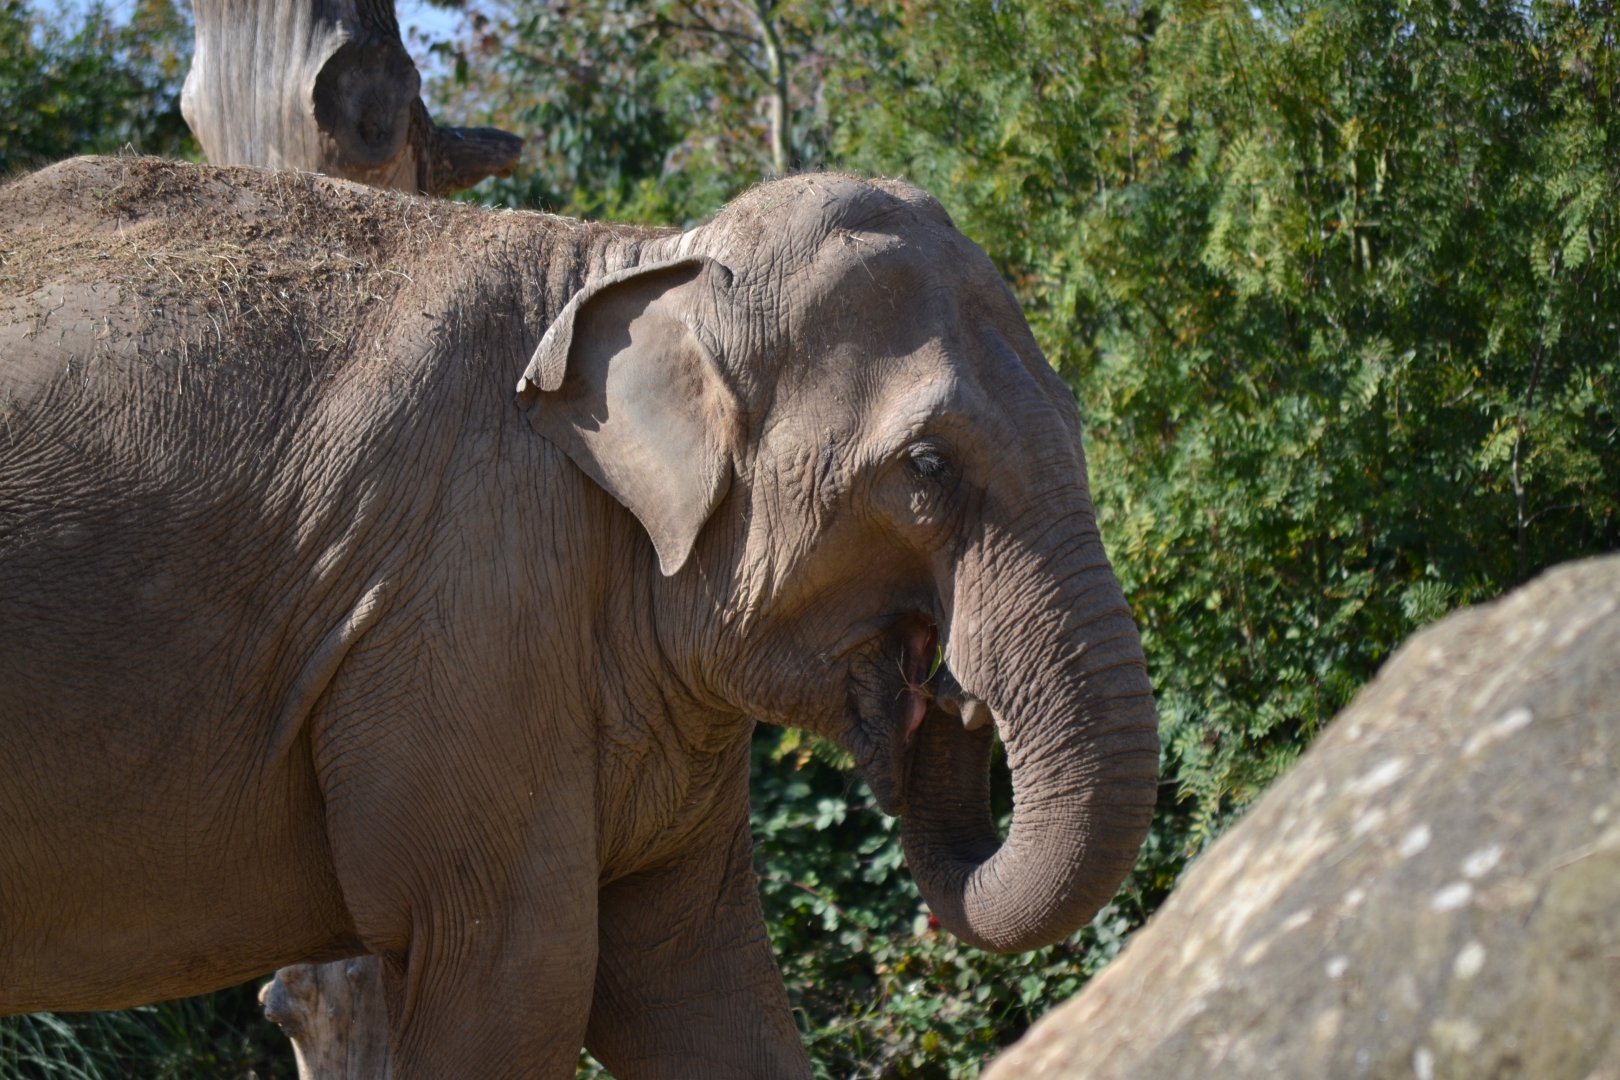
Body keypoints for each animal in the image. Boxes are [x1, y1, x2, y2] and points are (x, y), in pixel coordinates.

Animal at [0, 156, 1159, 1078]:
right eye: (925, 466)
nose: (954, 695)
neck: (644, 261)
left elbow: (700, 988)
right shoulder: (470, 605)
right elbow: (524, 979)